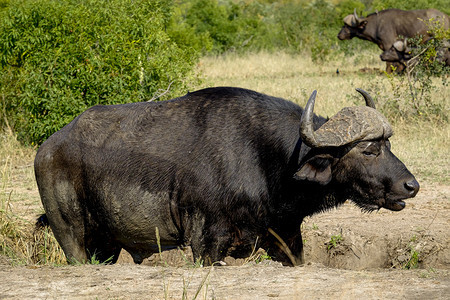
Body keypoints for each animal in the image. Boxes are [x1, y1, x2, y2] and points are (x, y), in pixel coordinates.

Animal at [33, 86, 420, 264]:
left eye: (388, 143)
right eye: (368, 149)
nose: (410, 186)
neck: (268, 161)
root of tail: (48, 147)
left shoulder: (287, 239)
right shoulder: (206, 243)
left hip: (107, 244)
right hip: (71, 236)